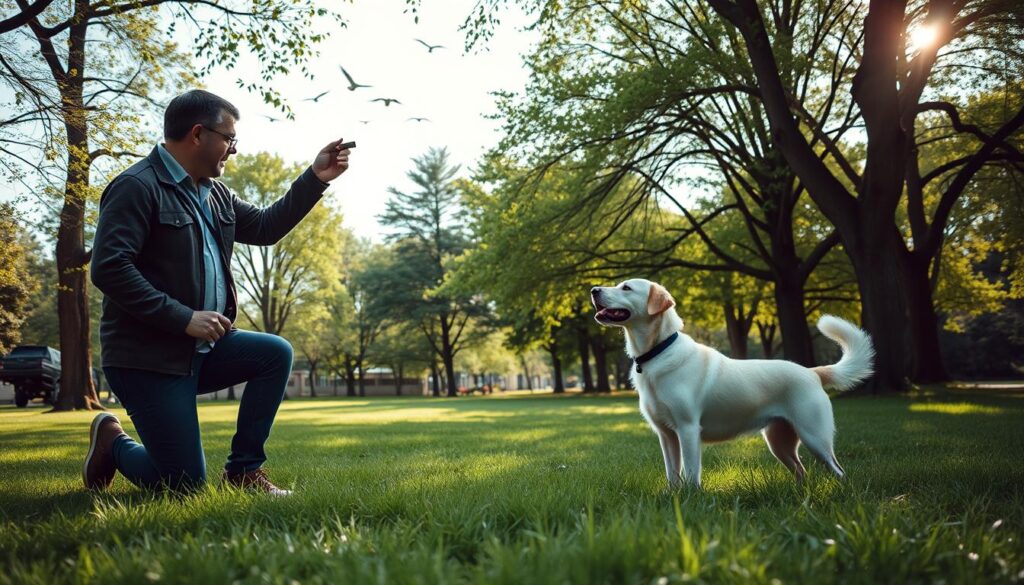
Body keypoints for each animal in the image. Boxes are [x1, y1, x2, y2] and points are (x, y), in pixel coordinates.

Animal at [593, 278, 872, 489]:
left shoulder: (687, 429)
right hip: (779, 442)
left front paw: (692, 498)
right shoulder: (666, 435)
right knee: (801, 470)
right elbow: (672, 473)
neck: (657, 351)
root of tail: (812, 372)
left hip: (815, 437)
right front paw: (673, 497)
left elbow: (691, 472)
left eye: (626, 288)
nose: (593, 290)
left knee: (837, 469)